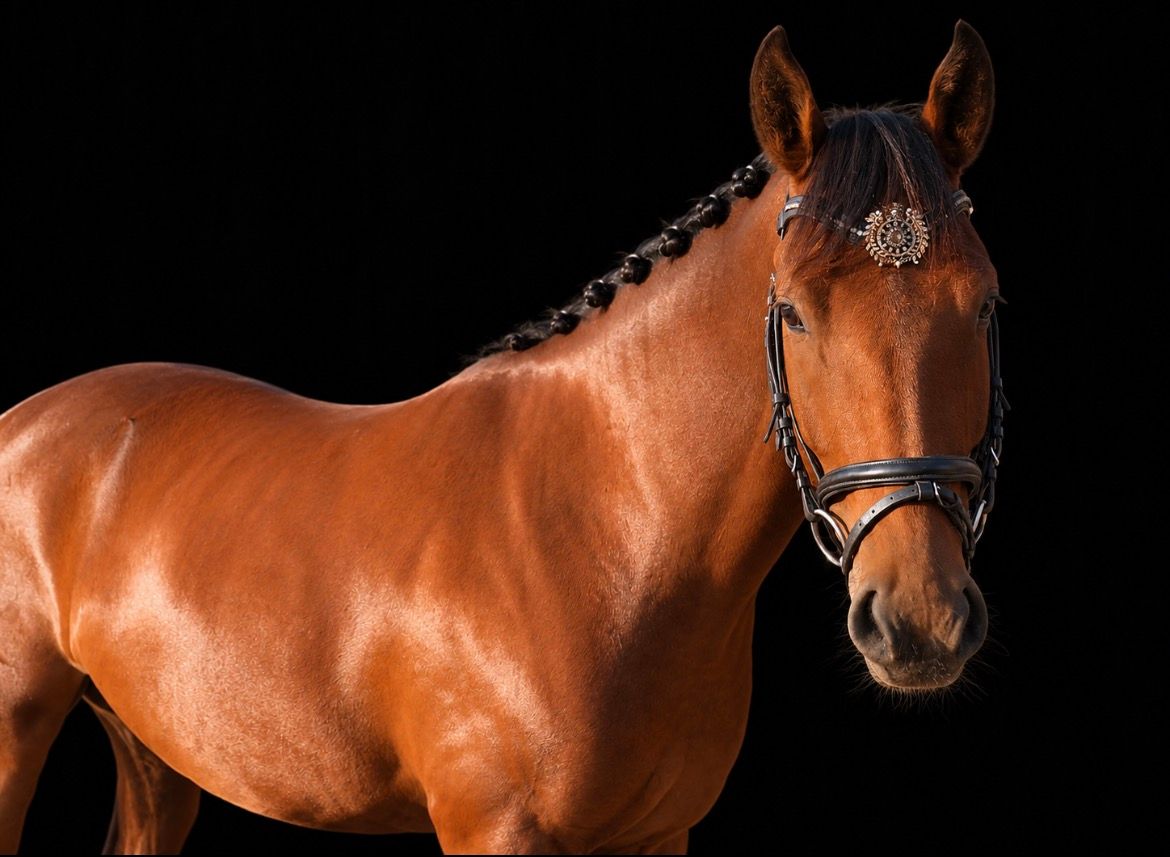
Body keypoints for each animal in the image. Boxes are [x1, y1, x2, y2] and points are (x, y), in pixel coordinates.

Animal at [0, 20, 1002, 855]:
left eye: (986, 304)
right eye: (793, 312)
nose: (918, 619)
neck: (605, 528)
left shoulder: (656, 836)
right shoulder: (496, 829)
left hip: (153, 752)